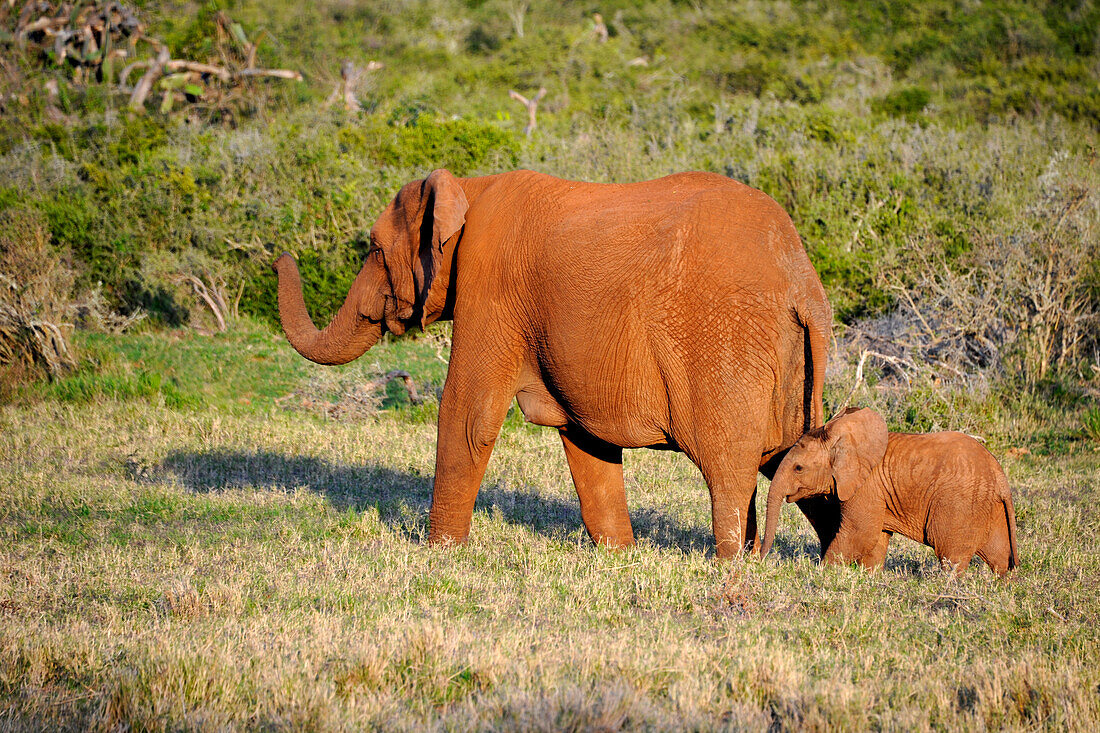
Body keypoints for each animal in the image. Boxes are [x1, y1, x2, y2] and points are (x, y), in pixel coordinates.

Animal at [275, 168, 831, 556]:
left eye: (372, 249)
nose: (281, 258)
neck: (471, 187)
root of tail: (802, 280)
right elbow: (585, 441)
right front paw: (619, 556)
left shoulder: (490, 289)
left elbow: (469, 414)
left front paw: (439, 554)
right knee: (799, 461)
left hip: (724, 346)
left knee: (730, 467)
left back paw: (731, 564)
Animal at [761, 405, 1016, 572]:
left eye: (798, 468)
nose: (758, 557)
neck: (841, 439)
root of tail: (999, 474)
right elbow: (877, 539)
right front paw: (868, 576)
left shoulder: (866, 487)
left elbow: (860, 533)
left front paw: (823, 572)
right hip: (987, 504)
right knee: (999, 556)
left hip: (961, 504)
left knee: (950, 556)